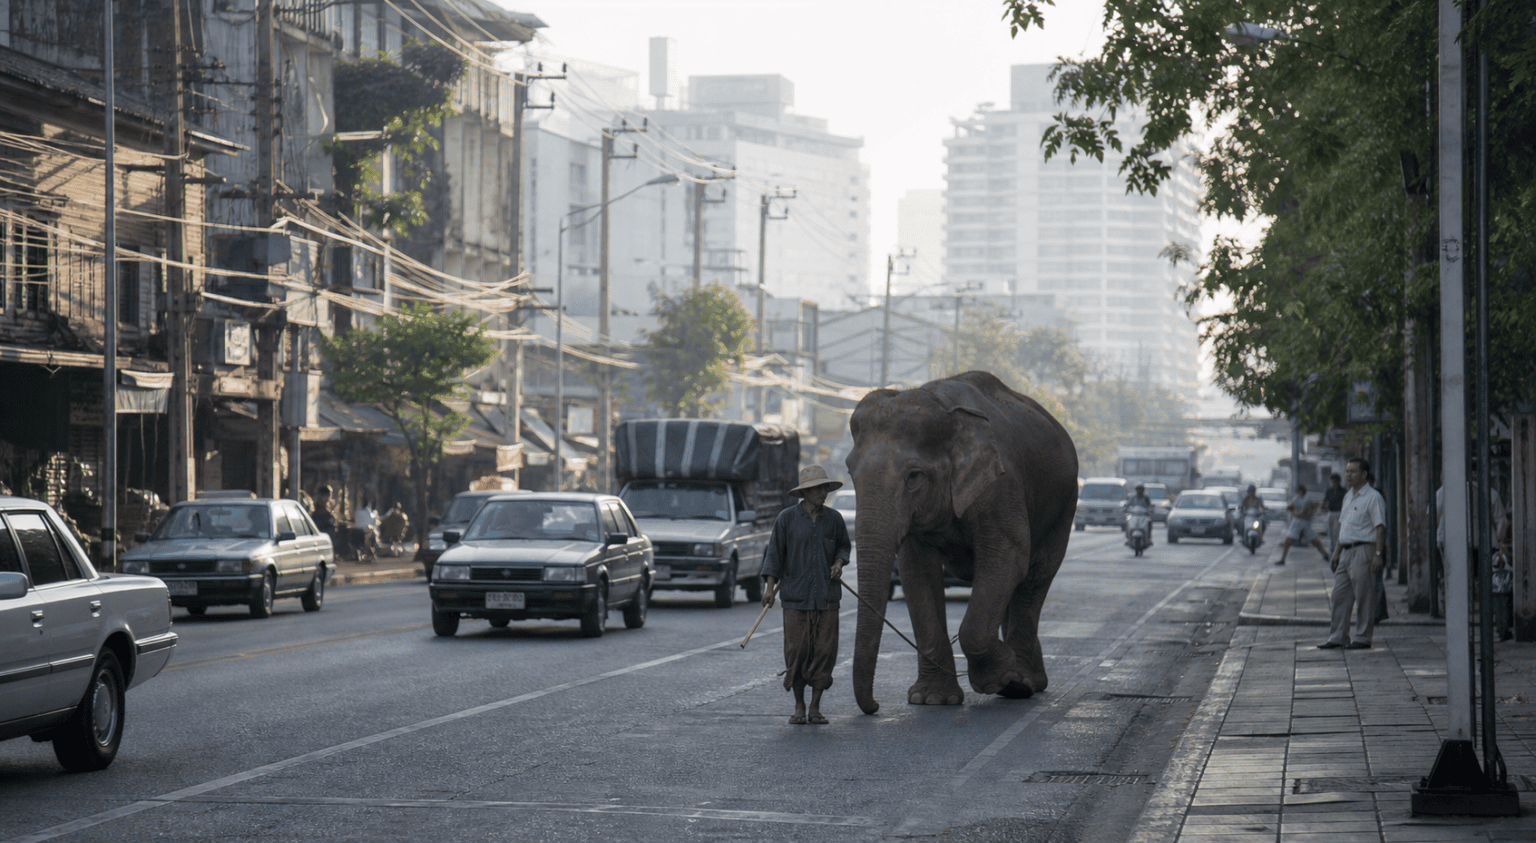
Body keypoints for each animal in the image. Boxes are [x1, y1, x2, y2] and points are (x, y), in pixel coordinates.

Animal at [845, 371, 1078, 714]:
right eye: (850, 473)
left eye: (914, 476)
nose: (874, 706)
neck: (943, 407)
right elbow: (917, 572)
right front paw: (931, 700)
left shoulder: (1000, 485)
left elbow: (1008, 556)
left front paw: (1002, 679)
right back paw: (1029, 679)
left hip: (1064, 506)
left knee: (1034, 578)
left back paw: (1023, 684)